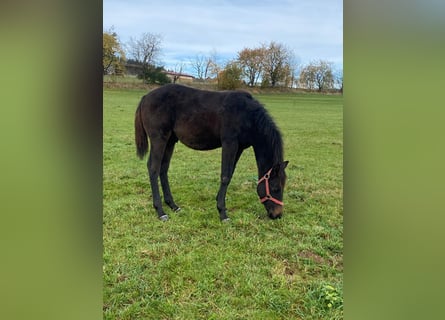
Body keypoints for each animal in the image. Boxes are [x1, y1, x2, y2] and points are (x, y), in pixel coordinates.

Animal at [135, 84, 288, 221]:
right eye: (275, 188)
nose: (277, 215)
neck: (247, 115)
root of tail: (145, 97)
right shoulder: (229, 143)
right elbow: (225, 176)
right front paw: (222, 213)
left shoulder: (239, 147)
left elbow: (230, 174)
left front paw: (219, 201)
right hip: (159, 139)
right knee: (153, 168)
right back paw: (160, 211)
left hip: (170, 141)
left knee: (163, 169)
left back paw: (173, 205)